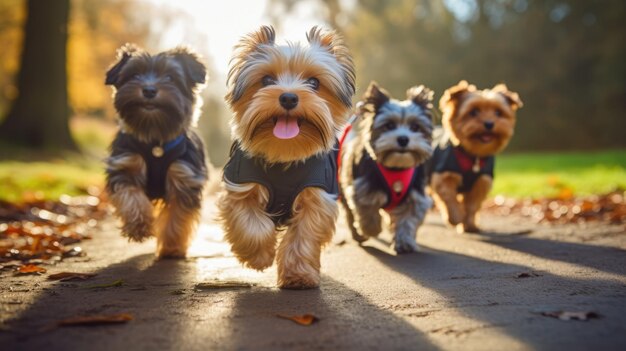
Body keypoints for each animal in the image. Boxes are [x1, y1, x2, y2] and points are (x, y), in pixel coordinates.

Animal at [103, 44, 208, 258]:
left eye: (169, 77)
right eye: (134, 75)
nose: (149, 90)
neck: (154, 139)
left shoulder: (184, 174)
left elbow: (177, 214)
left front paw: (172, 247)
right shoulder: (125, 164)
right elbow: (131, 195)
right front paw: (139, 226)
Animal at [217, 26, 354, 290]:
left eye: (314, 82)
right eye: (267, 80)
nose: (289, 97)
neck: (285, 155)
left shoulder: (318, 197)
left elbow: (304, 236)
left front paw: (298, 276)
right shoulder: (239, 187)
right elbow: (252, 225)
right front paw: (259, 257)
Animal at [336, 82, 434, 253]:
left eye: (415, 127)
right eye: (389, 125)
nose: (403, 139)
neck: (396, 166)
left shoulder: (416, 196)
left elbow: (407, 220)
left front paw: (404, 242)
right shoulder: (363, 190)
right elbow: (368, 214)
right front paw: (371, 230)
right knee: (350, 215)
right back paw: (359, 235)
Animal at [428, 80, 520, 234]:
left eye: (498, 112)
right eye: (473, 112)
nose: (489, 123)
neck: (472, 155)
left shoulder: (481, 181)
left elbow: (472, 205)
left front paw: (469, 224)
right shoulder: (444, 177)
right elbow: (450, 199)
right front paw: (456, 218)